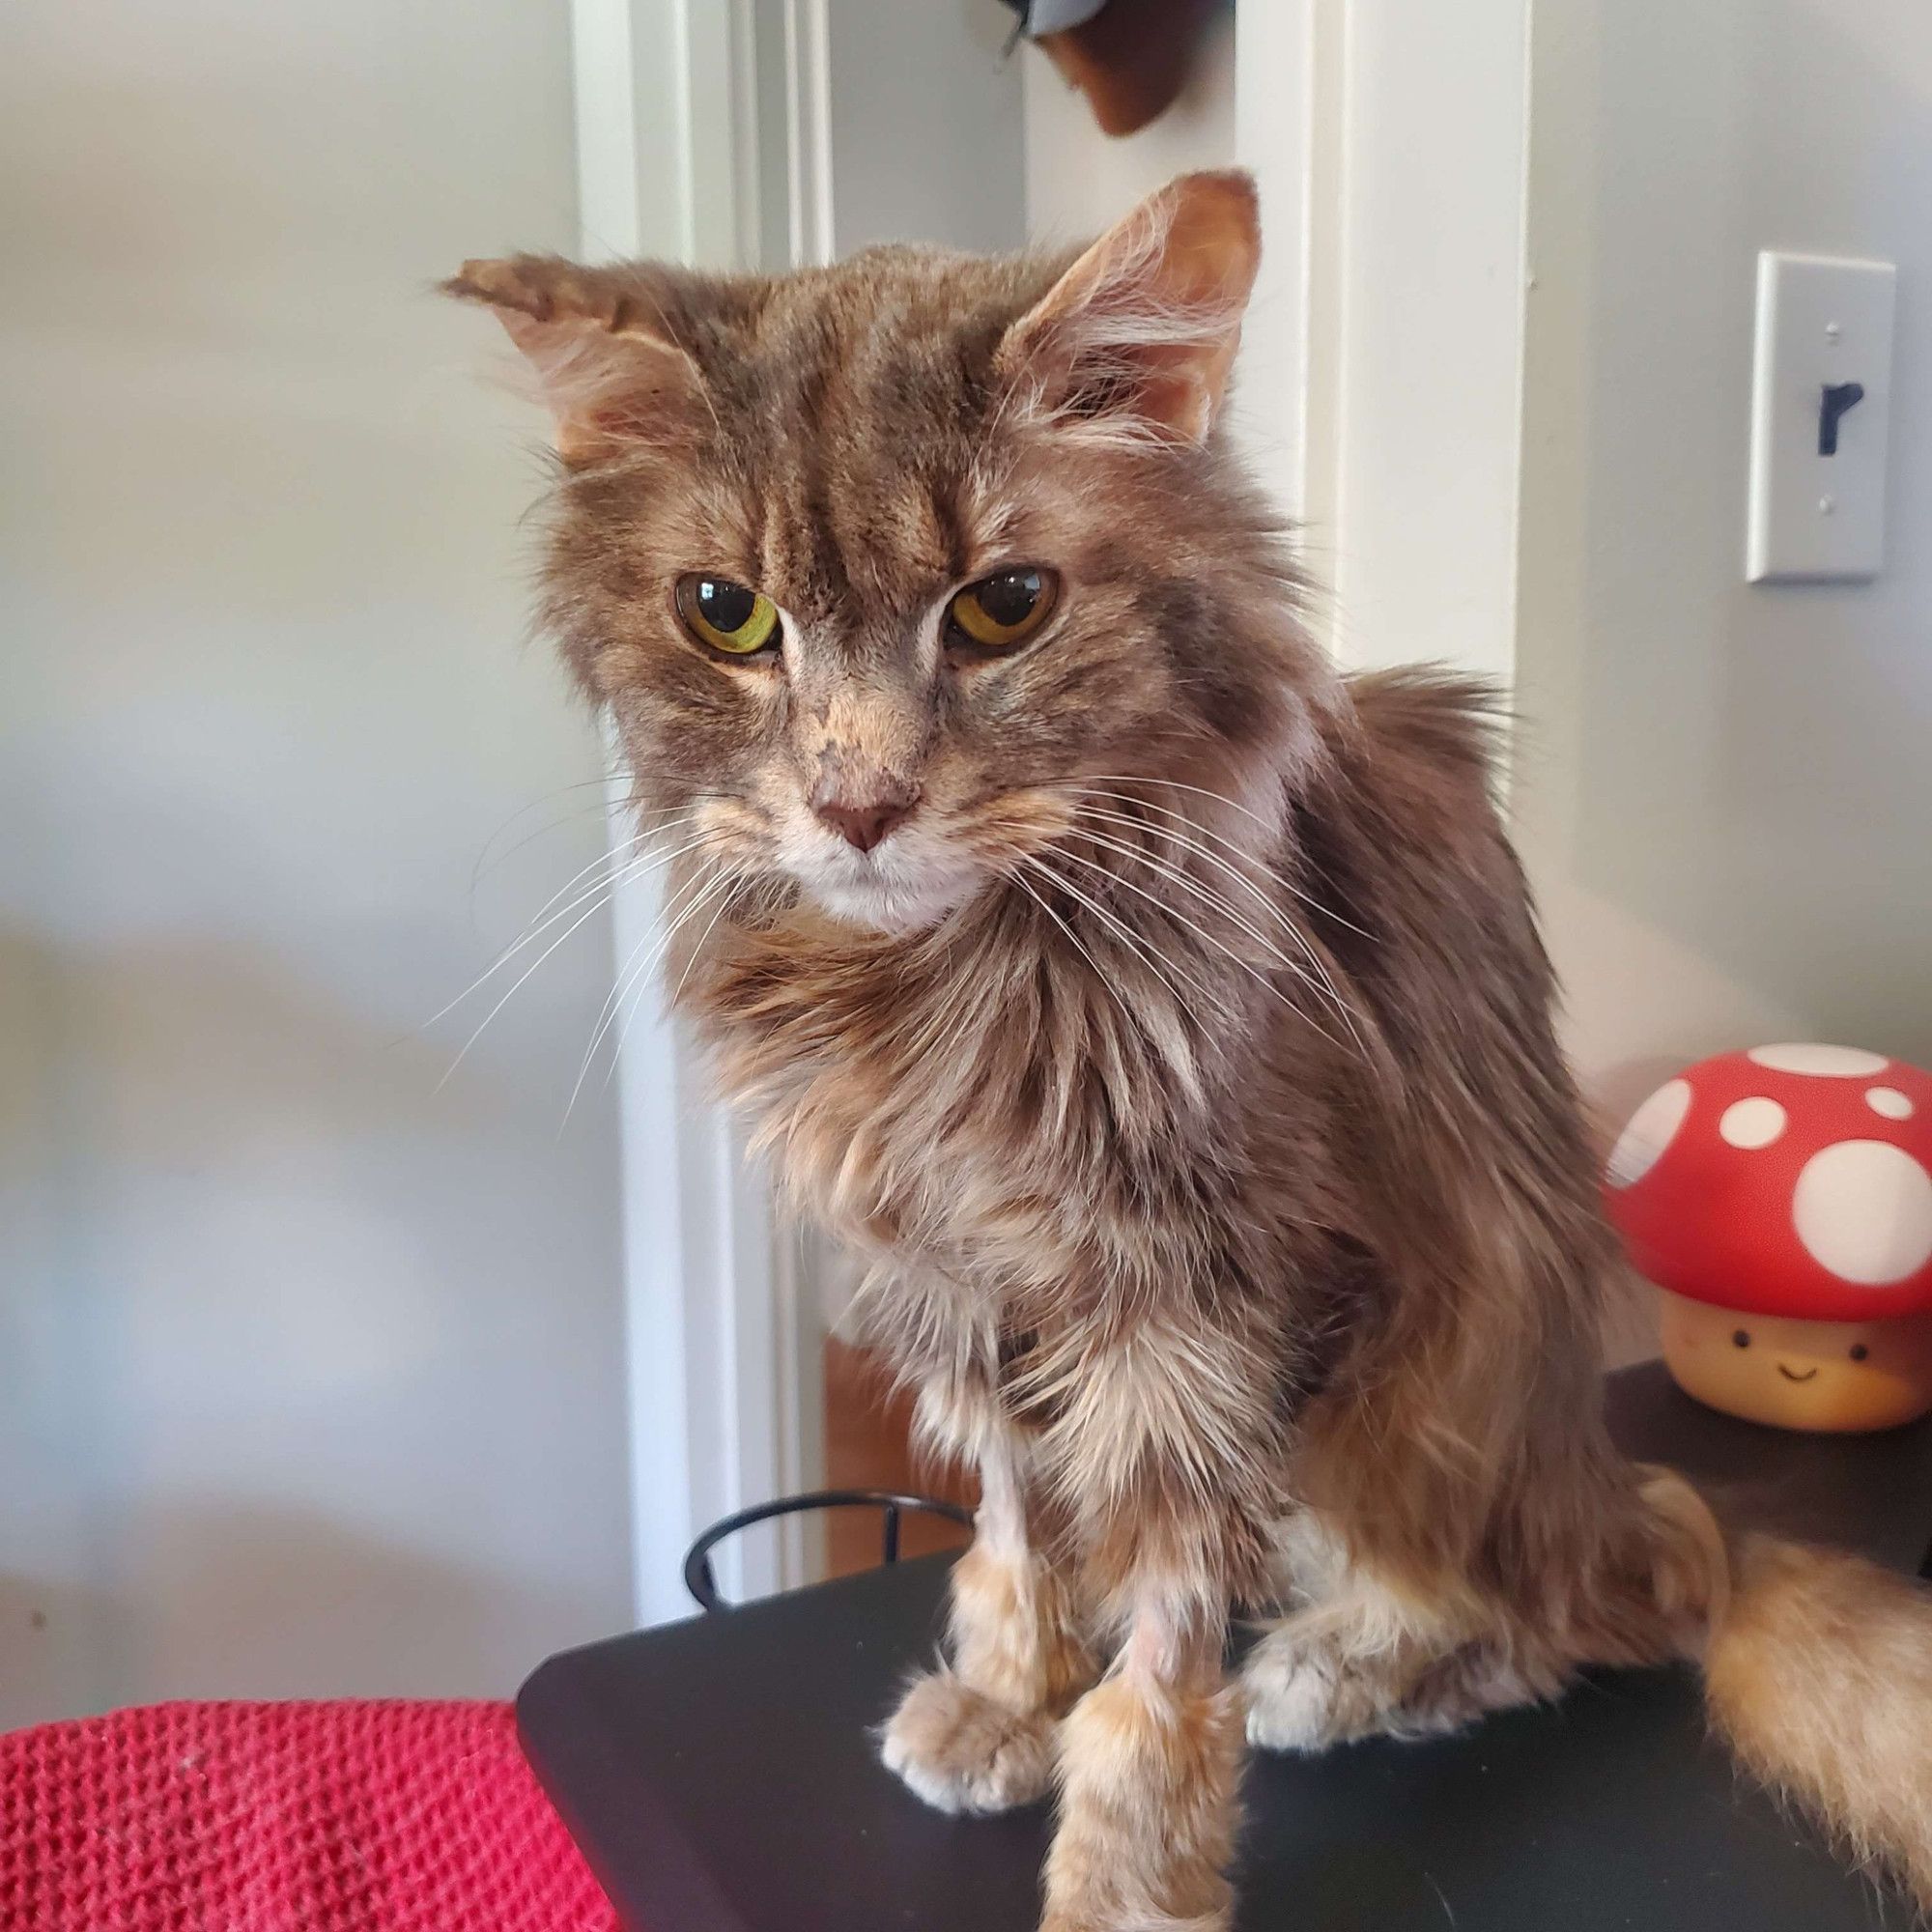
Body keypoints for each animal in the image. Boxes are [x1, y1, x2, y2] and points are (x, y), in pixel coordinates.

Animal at [448, 174, 1932, 1924]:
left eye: (1006, 606)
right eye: (726, 615)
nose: (858, 805)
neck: (932, 1001)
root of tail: (1601, 1484)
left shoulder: (1198, 1309)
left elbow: (1160, 1645)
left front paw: (1127, 1874)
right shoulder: (959, 1292)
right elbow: (1015, 1532)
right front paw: (1007, 1700)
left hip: (1421, 1385)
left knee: (1552, 1615)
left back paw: (1341, 1669)